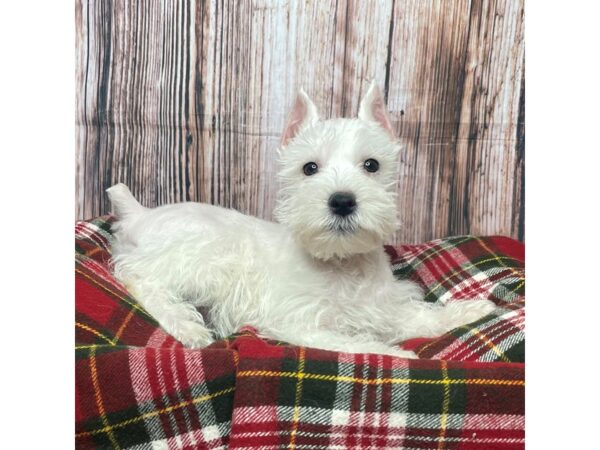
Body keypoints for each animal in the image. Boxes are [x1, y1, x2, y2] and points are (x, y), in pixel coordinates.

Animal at [106, 80, 492, 356]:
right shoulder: (300, 324)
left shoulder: (383, 306)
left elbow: (420, 316)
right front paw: (399, 356)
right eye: (309, 168)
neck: (340, 264)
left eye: (372, 165)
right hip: (202, 255)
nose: (342, 201)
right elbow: (355, 344)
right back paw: (189, 328)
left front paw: (472, 310)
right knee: (141, 279)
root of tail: (140, 214)